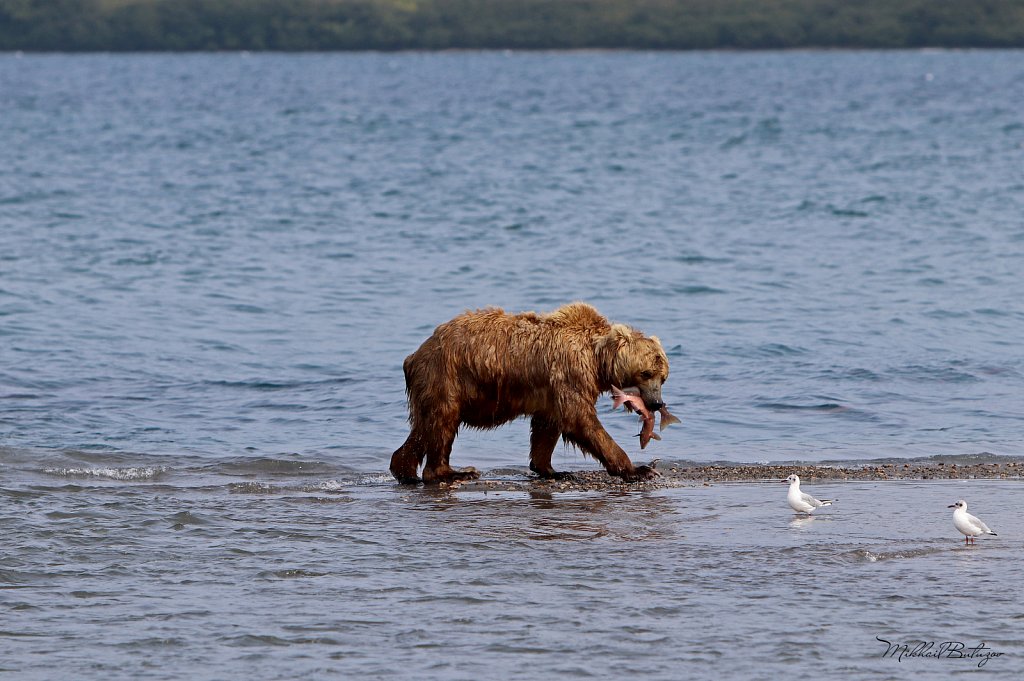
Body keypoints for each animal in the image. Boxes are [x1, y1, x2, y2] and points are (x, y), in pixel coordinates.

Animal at [387, 303, 667, 483]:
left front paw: (552, 470)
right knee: (442, 423)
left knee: (424, 427)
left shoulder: (551, 390)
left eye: (663, 377)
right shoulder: (570, 372)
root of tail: (414, 356)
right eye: (646, 373)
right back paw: (452, 472)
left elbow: (547, 425)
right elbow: (581, 420)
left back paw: (404, 470)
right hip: (448, 377)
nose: (656, 403)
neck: (597, 360)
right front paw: (640, 470)